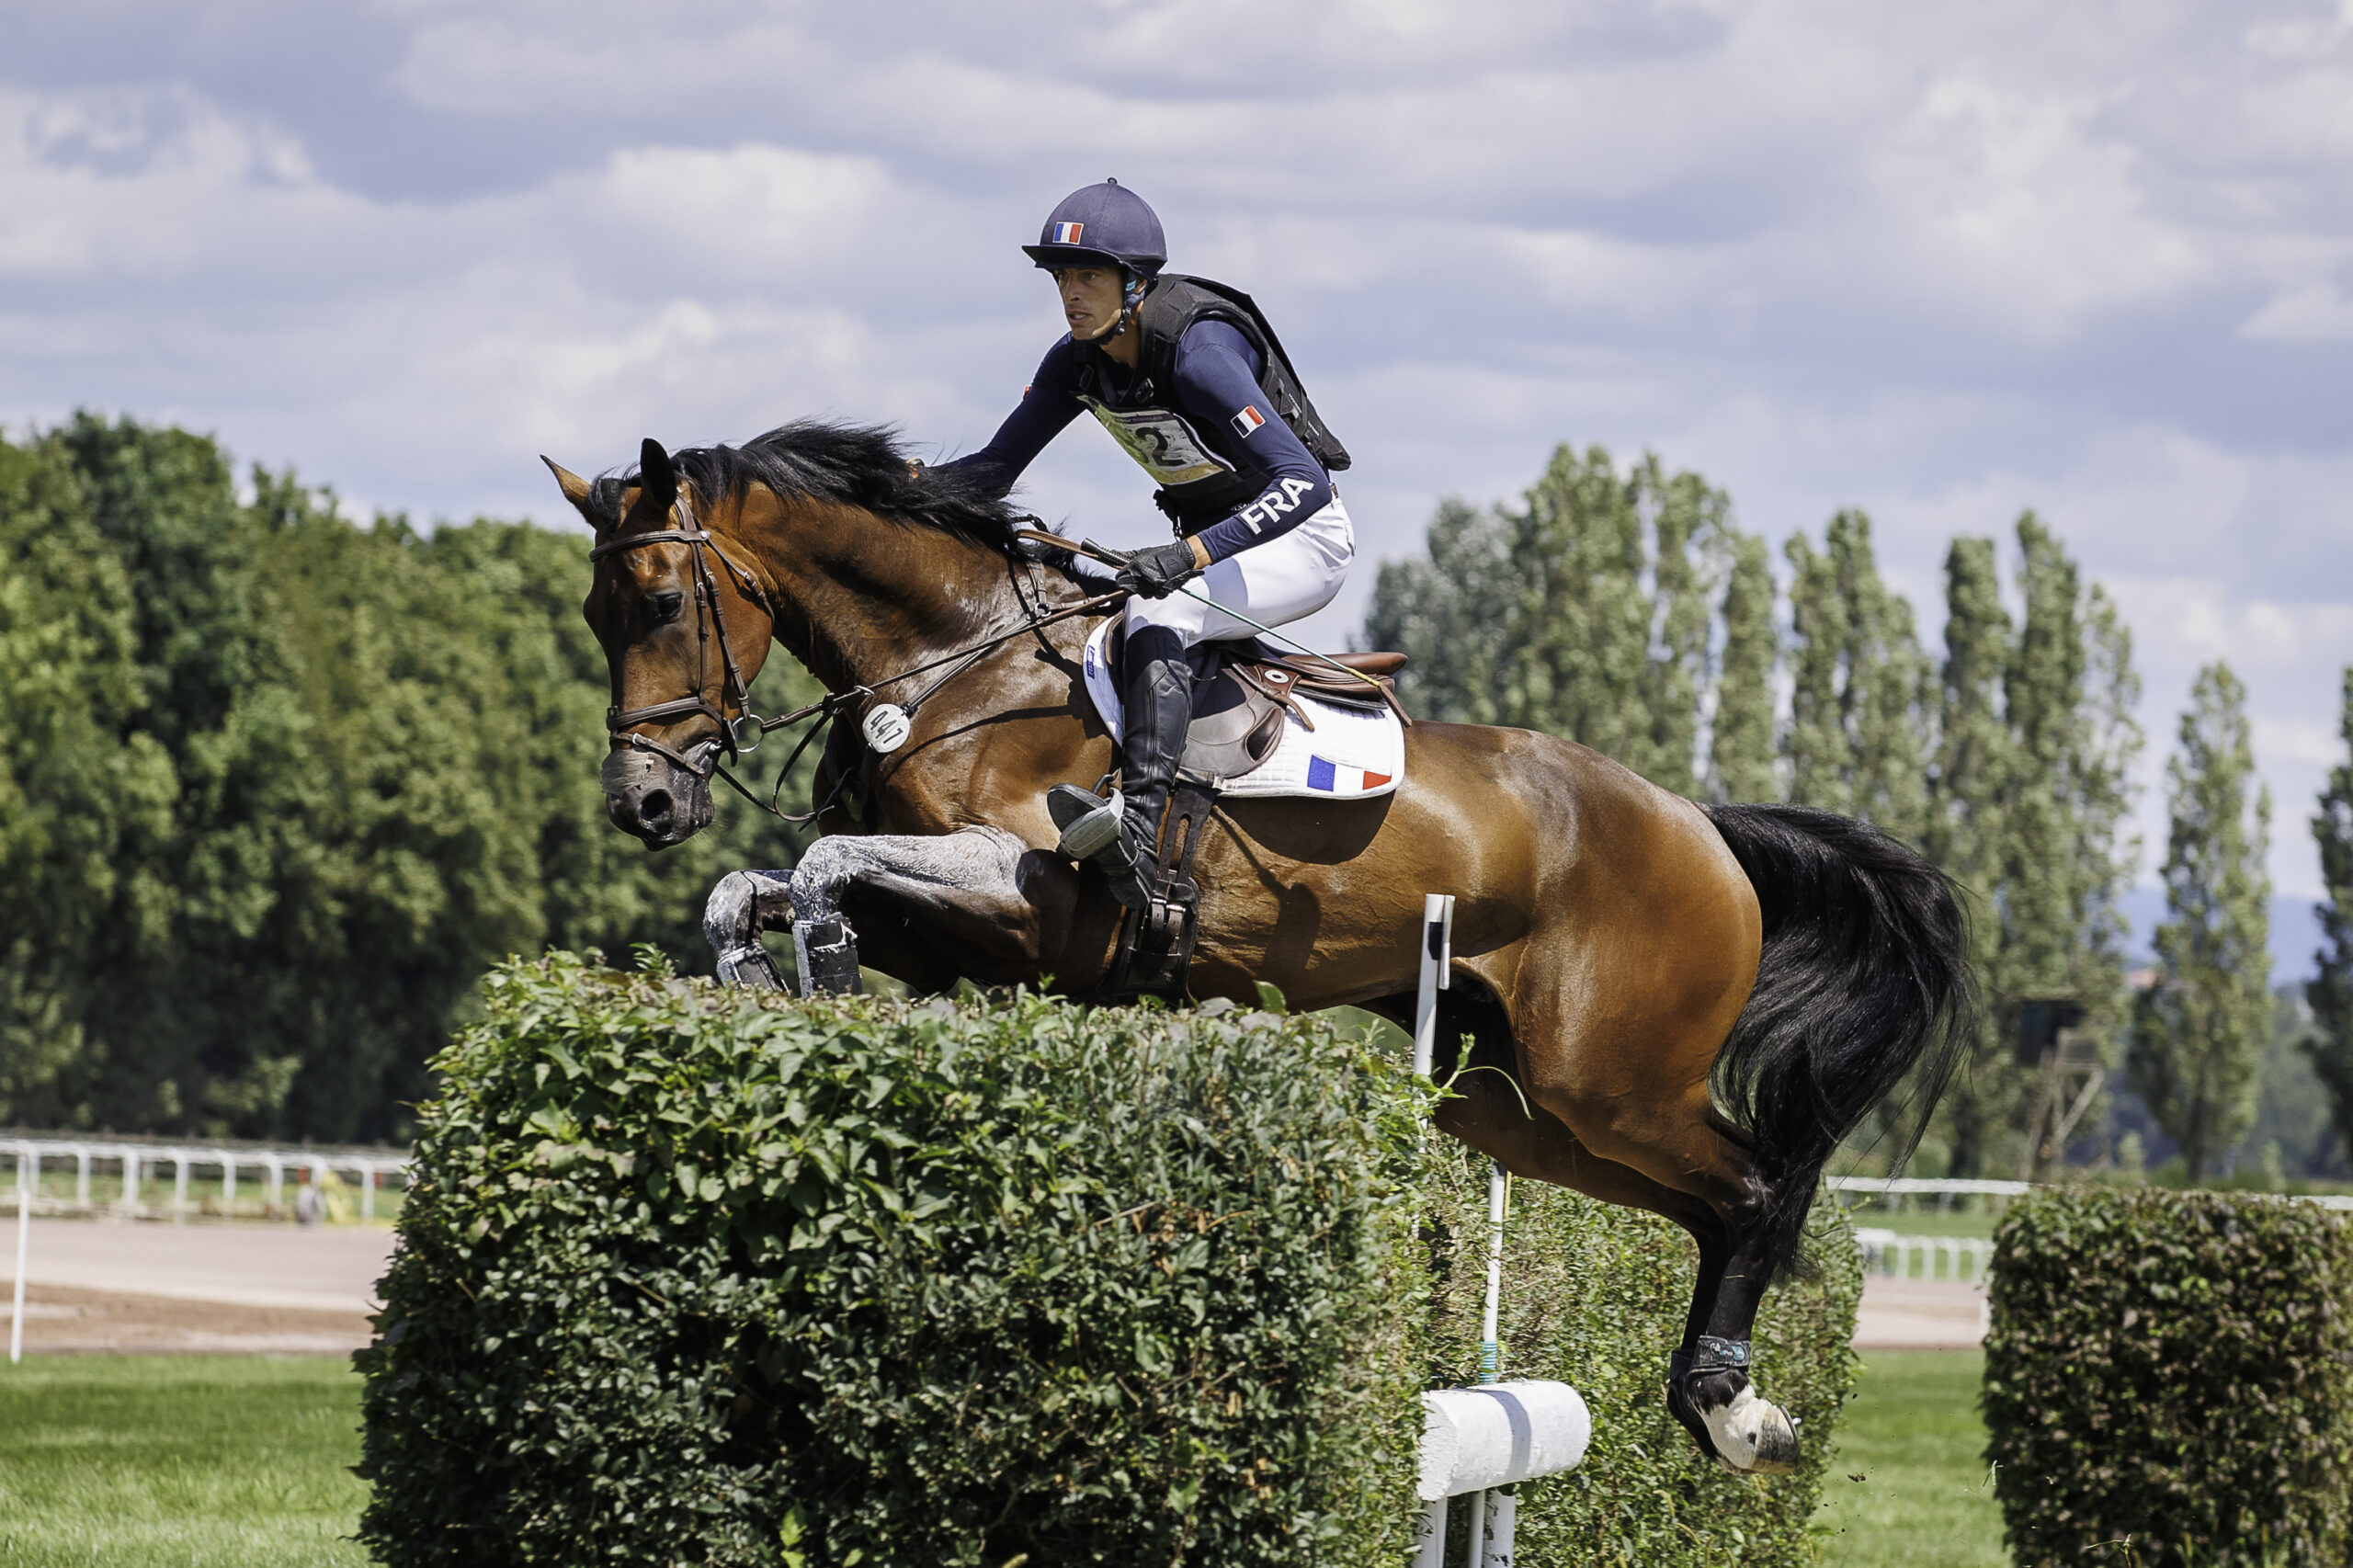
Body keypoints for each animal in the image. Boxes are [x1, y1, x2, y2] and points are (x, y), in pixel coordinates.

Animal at [545, 414, 1967, 1469]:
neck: (956, 666)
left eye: (662, 600)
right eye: (596, 614)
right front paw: (766, 985)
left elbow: (820, 868)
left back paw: (1732, 1408)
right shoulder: (953, 927)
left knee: (1752, 1189)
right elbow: (753, 887)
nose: (643, 804)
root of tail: (1701, 824)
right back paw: (1727, 1399)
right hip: (1520, 1108)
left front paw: (822, 978)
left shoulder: (1031, 898)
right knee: (1713, 1204)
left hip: (1606, 1078)